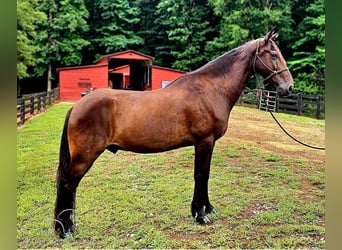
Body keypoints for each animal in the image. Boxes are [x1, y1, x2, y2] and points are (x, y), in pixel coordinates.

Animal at [54, 29, 294, 238]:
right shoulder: (204, 142)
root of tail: (76, 106)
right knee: (68, 184)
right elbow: (200, 175)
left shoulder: (210, 143)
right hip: (84, 157)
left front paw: (208, 208)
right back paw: (65, 230)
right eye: (274, 55)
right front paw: (200, 215)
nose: (289, 87)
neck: (211, 89)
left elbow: (206, 175)